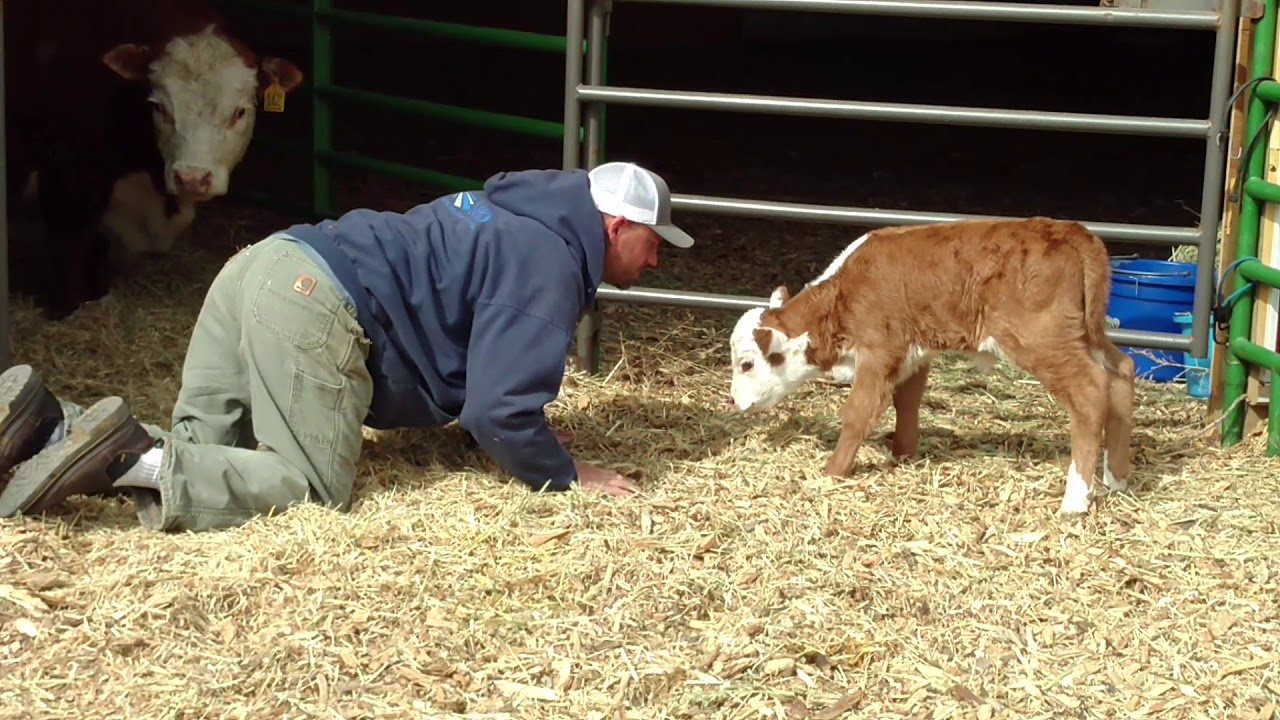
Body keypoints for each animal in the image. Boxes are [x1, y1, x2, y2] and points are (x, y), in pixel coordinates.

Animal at [3, 0, 304, 319]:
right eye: (159, 107)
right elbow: (70, 242)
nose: (192, 179)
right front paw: (69, 308)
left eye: (239, 112)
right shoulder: (64, 168)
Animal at [725, 216, 1137, 516]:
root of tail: (1072, 231)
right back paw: (1116, 477)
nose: (734, 402)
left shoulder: (879, 350)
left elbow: (857, 412)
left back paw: (1076, 499)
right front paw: (903, 452)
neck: (844, 294)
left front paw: (834, 470)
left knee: (1090, 390)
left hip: (1043, 339)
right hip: (1085, 335)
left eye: (746, 364)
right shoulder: (913, 353)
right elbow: (907, 401)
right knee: (1122, 371)